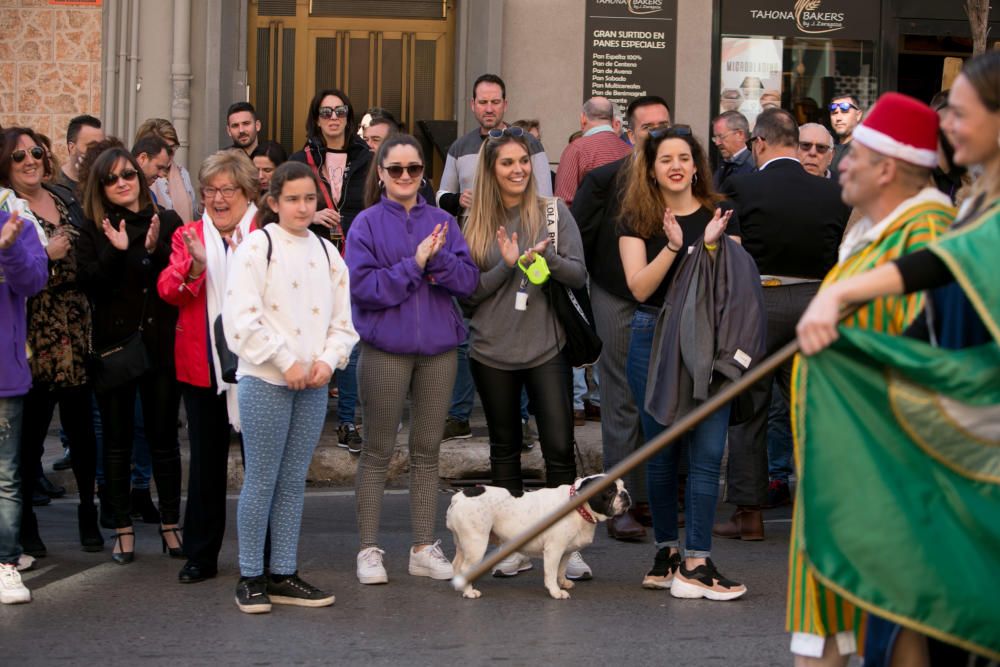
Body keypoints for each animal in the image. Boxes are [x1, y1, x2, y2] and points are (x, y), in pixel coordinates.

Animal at [448, 474, 628, 600]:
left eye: (624, 486)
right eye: (610, 491)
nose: (625, 494)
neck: (579, 507)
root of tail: (457, 498)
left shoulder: (565, 551)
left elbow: (561, 569)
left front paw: (563, 583)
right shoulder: (554, 550)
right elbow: (551, 573)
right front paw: (556, 591)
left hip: (463, 543)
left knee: (456, 564)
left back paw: (459, 586)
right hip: (476, 543)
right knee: (465, 567)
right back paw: (469, 592)